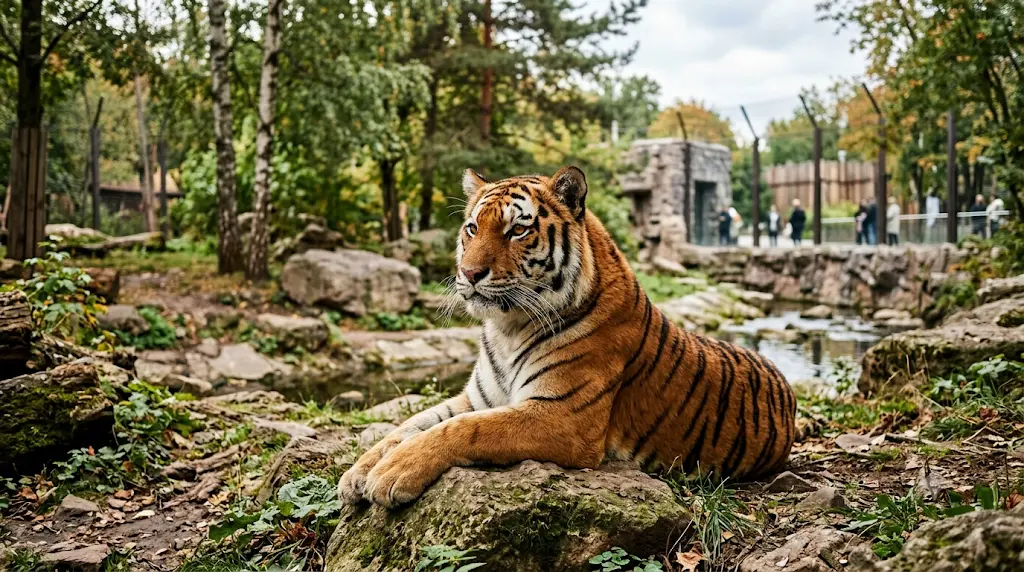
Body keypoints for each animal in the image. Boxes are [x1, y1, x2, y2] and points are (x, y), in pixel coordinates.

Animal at [338, 166, 797, 508]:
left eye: (516, 231)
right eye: (471, 228)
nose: (468, 274)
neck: (506, 328)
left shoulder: (561, 416)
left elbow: (464, 430)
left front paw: (391, 473)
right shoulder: (477, 398)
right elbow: (409, 424)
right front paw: (358, 472)